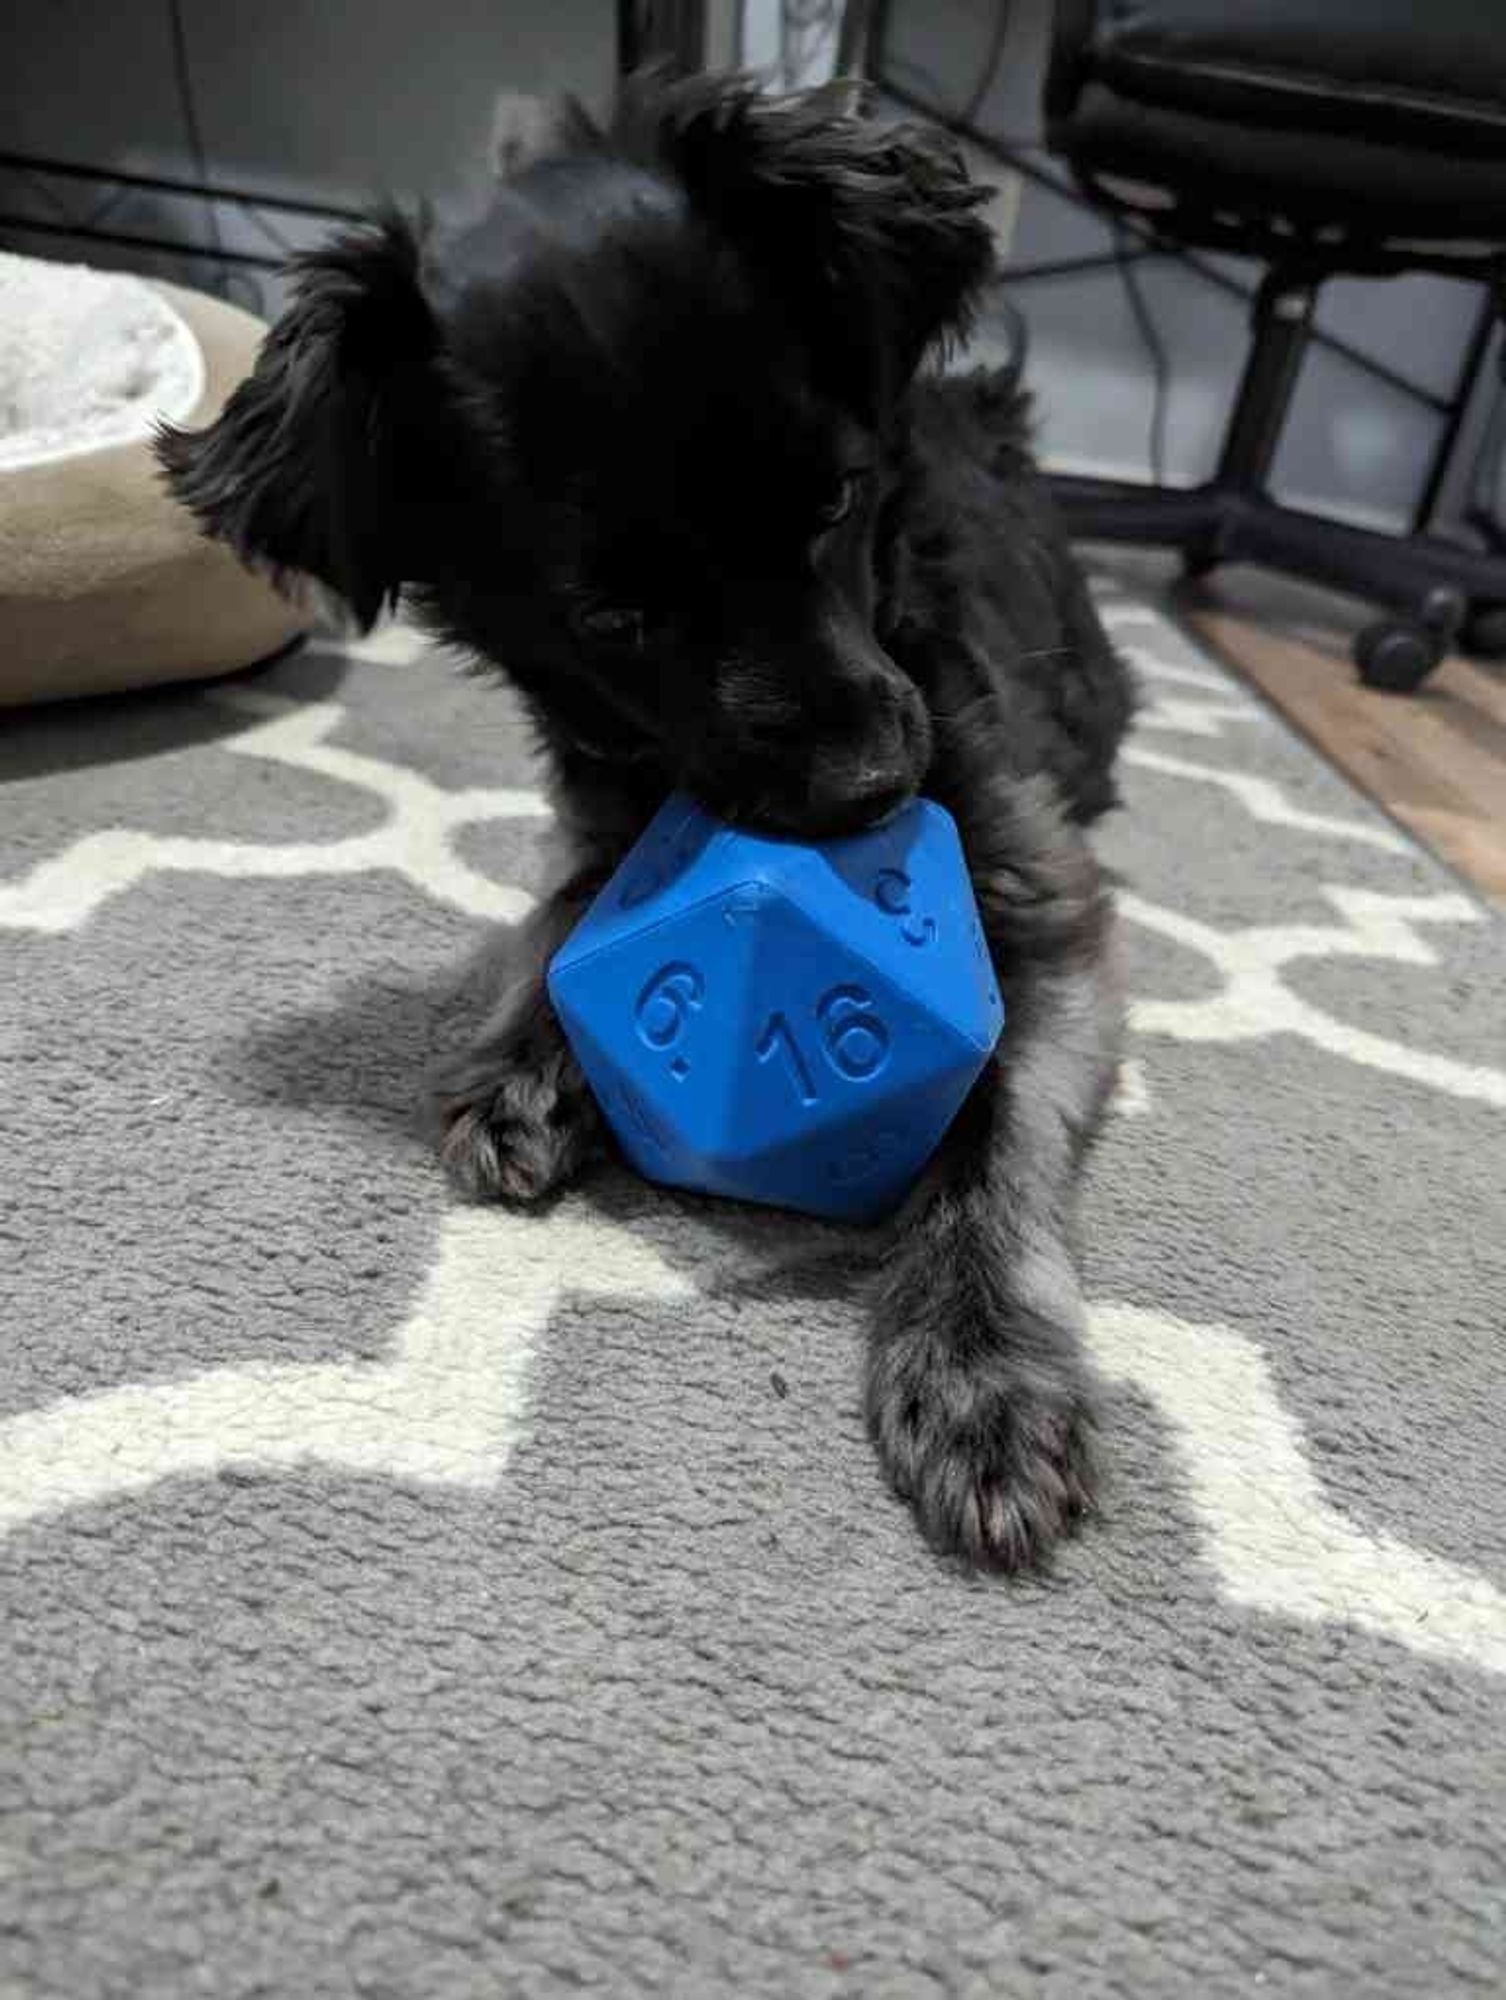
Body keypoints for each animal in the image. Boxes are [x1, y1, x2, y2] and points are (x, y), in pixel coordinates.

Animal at [159, 74, 1136, 1576]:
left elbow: (990, 1121)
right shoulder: (600, 810)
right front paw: (525, 1060)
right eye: (611, 620)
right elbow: (570, 915)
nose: (869, 791)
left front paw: (979, 1369)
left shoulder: (1038, 896)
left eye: (837, 498)